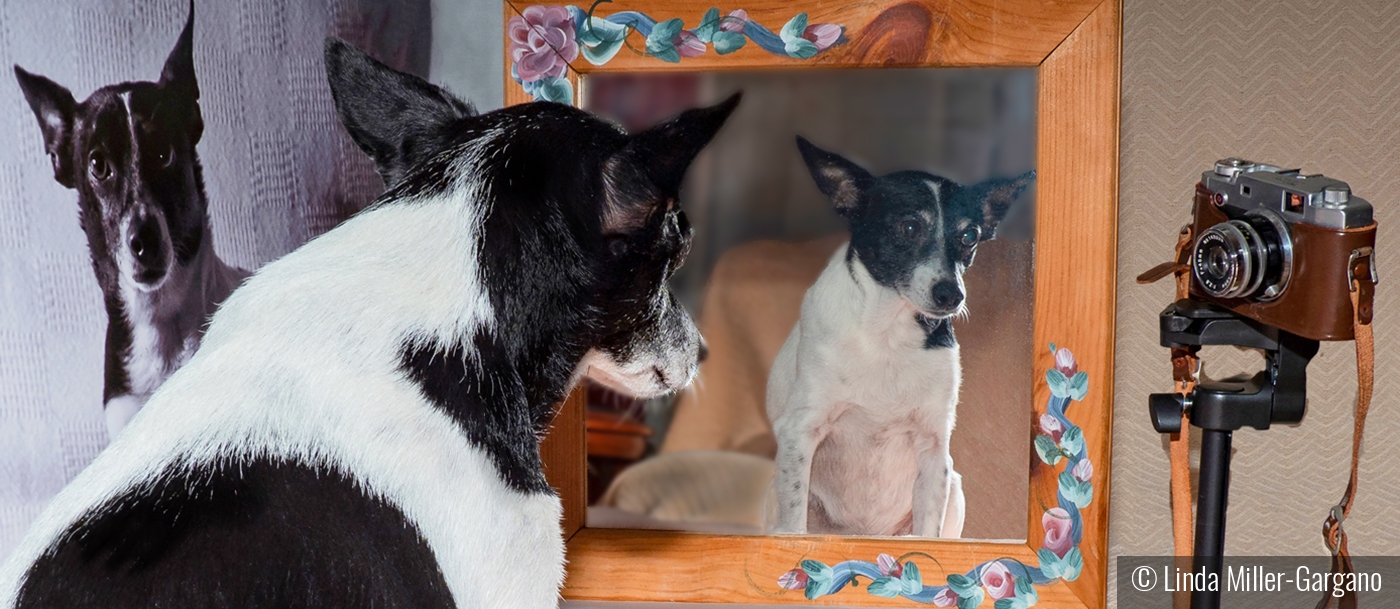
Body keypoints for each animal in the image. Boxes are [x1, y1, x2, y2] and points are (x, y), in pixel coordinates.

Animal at [767, 137, 1030, 537]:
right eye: (908, 227)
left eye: (969, 236)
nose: (952, 295)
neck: (887, 333)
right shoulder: (799, 432)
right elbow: (794, 525)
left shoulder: (934, 451)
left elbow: (929, 531)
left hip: (954, 486)